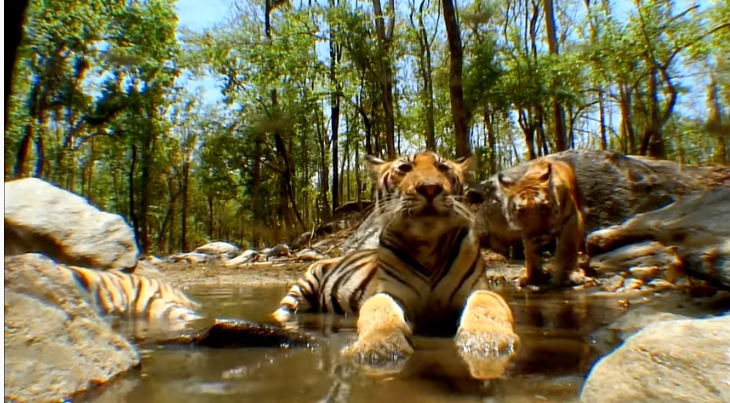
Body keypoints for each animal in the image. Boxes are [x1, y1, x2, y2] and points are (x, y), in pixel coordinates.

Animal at [272, 152, 516, 378]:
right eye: (405, 168)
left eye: (443, 167)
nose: (430, 188)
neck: (428, 246)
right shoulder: (388, 292)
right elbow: (380, 312)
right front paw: (378, 349)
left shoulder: (479, 289)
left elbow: (486, 306)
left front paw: (488, 343)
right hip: (303, 285)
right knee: (283, 310)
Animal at [492, 158, 584, 288]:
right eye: (521, 210)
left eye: (543, 207)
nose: (538, 235)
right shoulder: (526, 232)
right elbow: (531, 254)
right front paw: (533, 278)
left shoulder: (571, 217)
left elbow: (568, 247)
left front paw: (569, 275)